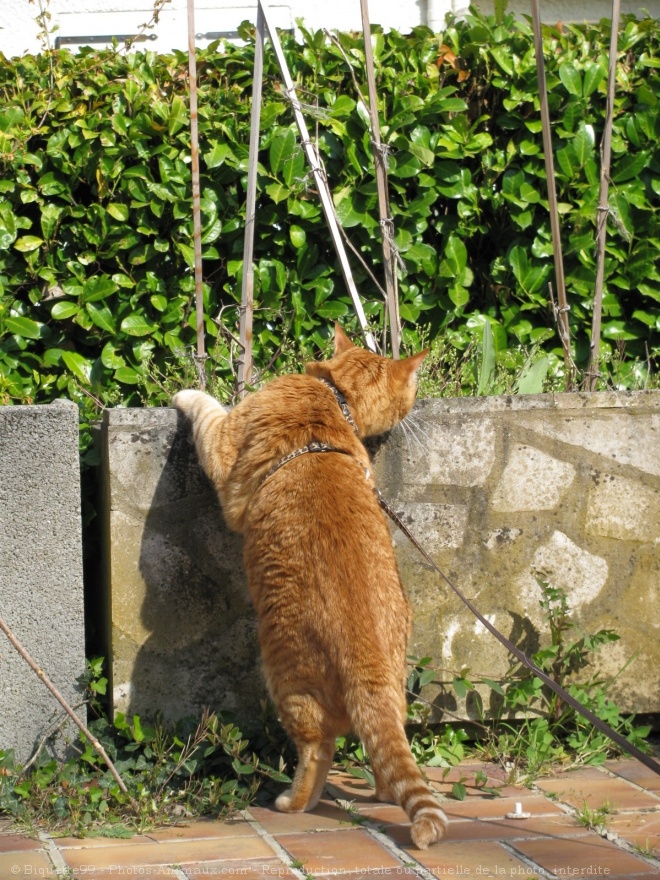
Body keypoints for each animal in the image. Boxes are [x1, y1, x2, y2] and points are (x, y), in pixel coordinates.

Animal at [173, 326, 446, 848]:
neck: (331, 397)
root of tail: (369, 658)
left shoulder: (223, 441)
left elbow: (204, 406)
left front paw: (183, 393)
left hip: (286, 680)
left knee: (318, 750)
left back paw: (291, 802)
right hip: (394, 684)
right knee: (388, 747)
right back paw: (381, 794)